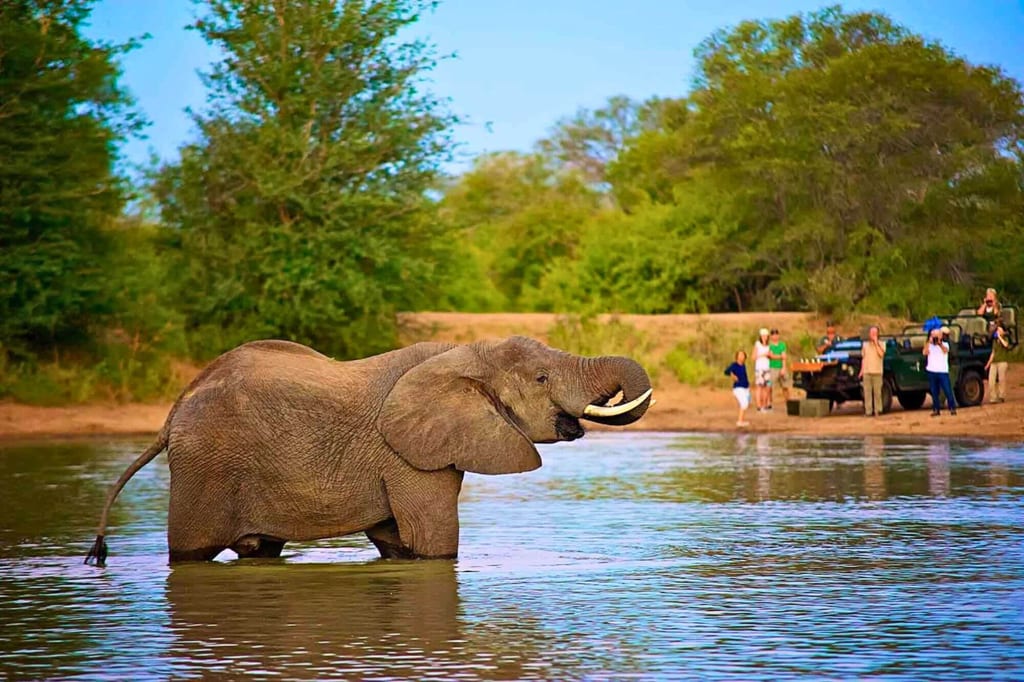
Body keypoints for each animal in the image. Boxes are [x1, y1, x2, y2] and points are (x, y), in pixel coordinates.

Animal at [84, 335, 653, 566]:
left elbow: (396, 539)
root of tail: (172, 412)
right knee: (191, 552)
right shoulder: (406, 454)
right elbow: (433, 539)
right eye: (540, 379)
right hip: (205, 468)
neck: (462, 352)